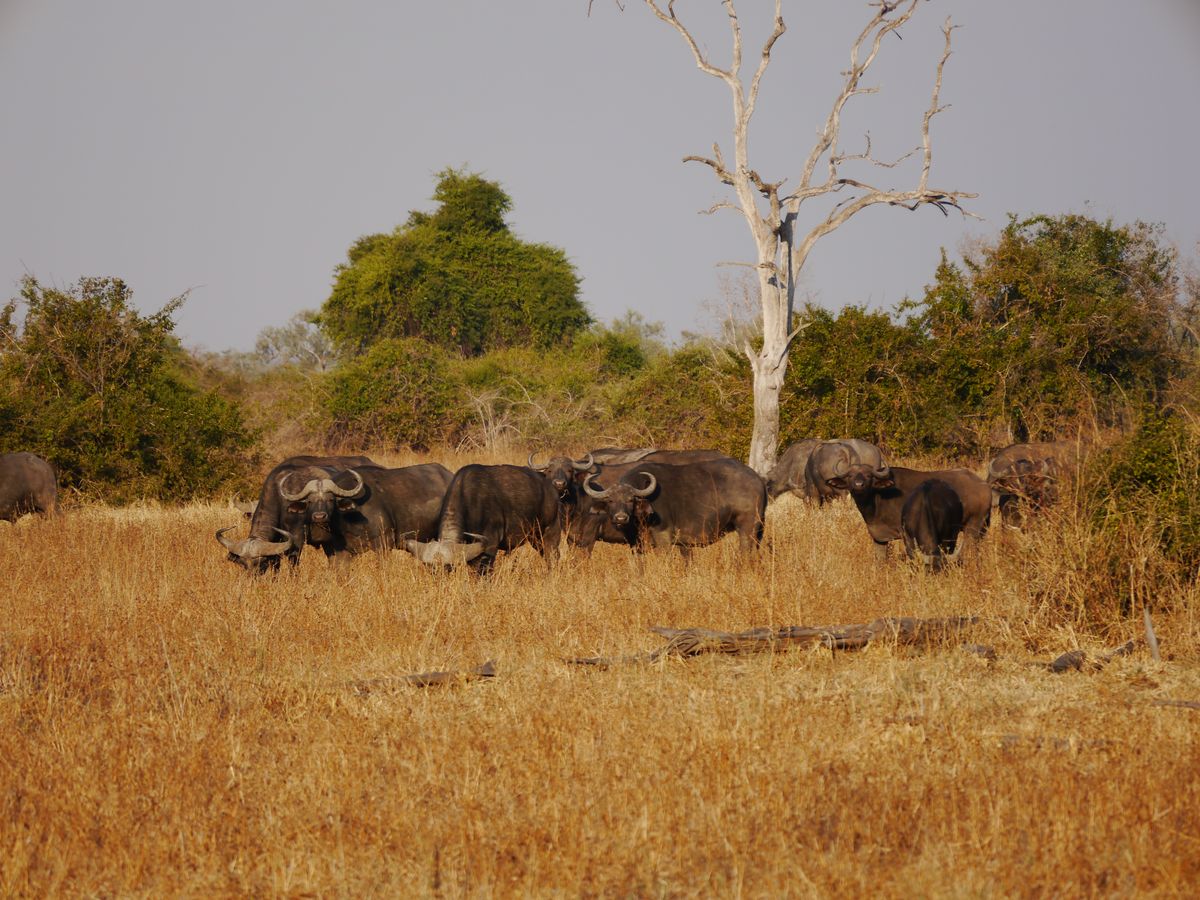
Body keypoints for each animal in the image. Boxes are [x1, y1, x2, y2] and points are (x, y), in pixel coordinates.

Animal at [405, 464, 562, 574]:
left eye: (448, 567)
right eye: (431, 568)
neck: (471, 501)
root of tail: (551, 488)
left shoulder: (490, 547)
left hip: (548, 532)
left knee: (553, 556)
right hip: (535, 539)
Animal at [581, 458, 766, 555]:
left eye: (630, 500)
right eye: (610, 500)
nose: (621, 517)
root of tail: (757, 479)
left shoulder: (664, 538)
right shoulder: (636, 544)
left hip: (748, 528)